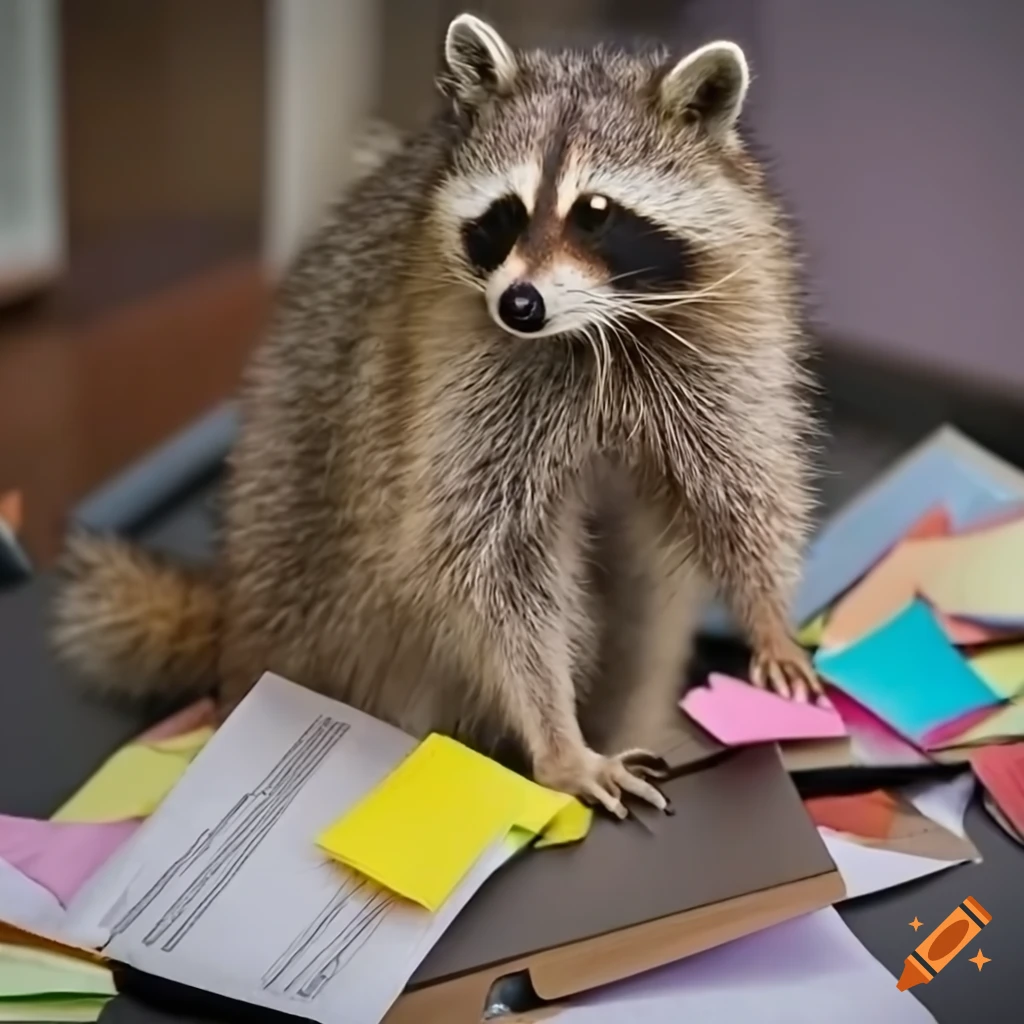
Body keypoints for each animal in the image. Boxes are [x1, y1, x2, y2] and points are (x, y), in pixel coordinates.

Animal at [52, 14, 819, 818]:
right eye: (506, 214)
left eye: (596, 213)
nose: (519, 304)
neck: (588, 329)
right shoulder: (463, 378)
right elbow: (483, 559)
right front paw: (557, 741)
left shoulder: (718, 336)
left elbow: (739, 485)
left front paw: (767, 614)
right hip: (306, 520)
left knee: (644, 618)